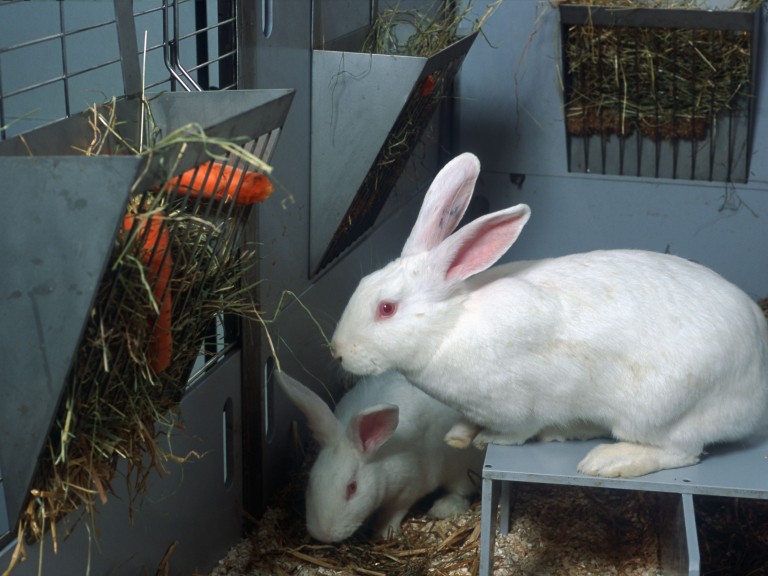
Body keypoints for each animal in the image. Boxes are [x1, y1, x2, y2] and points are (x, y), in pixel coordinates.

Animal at [274, 372, 480, 544]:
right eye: (311, 479)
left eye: (352, 488)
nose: (324, 536)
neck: (380, 459)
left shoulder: (409, 489)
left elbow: (395, 512)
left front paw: (383, 533)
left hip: (462, 469)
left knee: (462, 493)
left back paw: (442, 508)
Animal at [330, 151, 768, 480]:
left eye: (386, 308)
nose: (336, 351)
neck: (450, 325)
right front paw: (458, 434)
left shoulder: (519, 406)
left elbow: (516, 431)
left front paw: (487, 440)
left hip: (662, 412)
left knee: (682, 452)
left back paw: (608, 461)